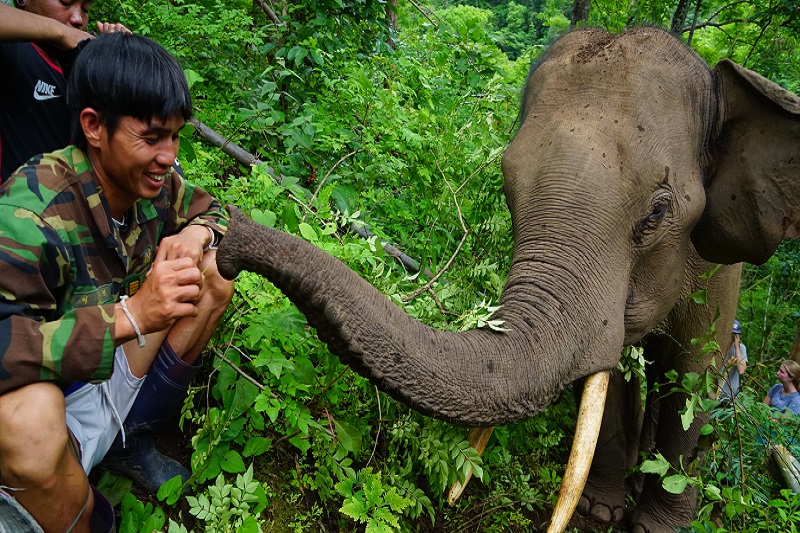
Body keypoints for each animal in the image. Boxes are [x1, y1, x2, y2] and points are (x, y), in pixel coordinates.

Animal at [215, 27, 800, 533]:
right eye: (506, 186)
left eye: (657, 212)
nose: (229, 233)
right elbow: (608, 376)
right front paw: (600, 512)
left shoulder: (720, 269)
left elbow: (695, 374)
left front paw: (654, 527)